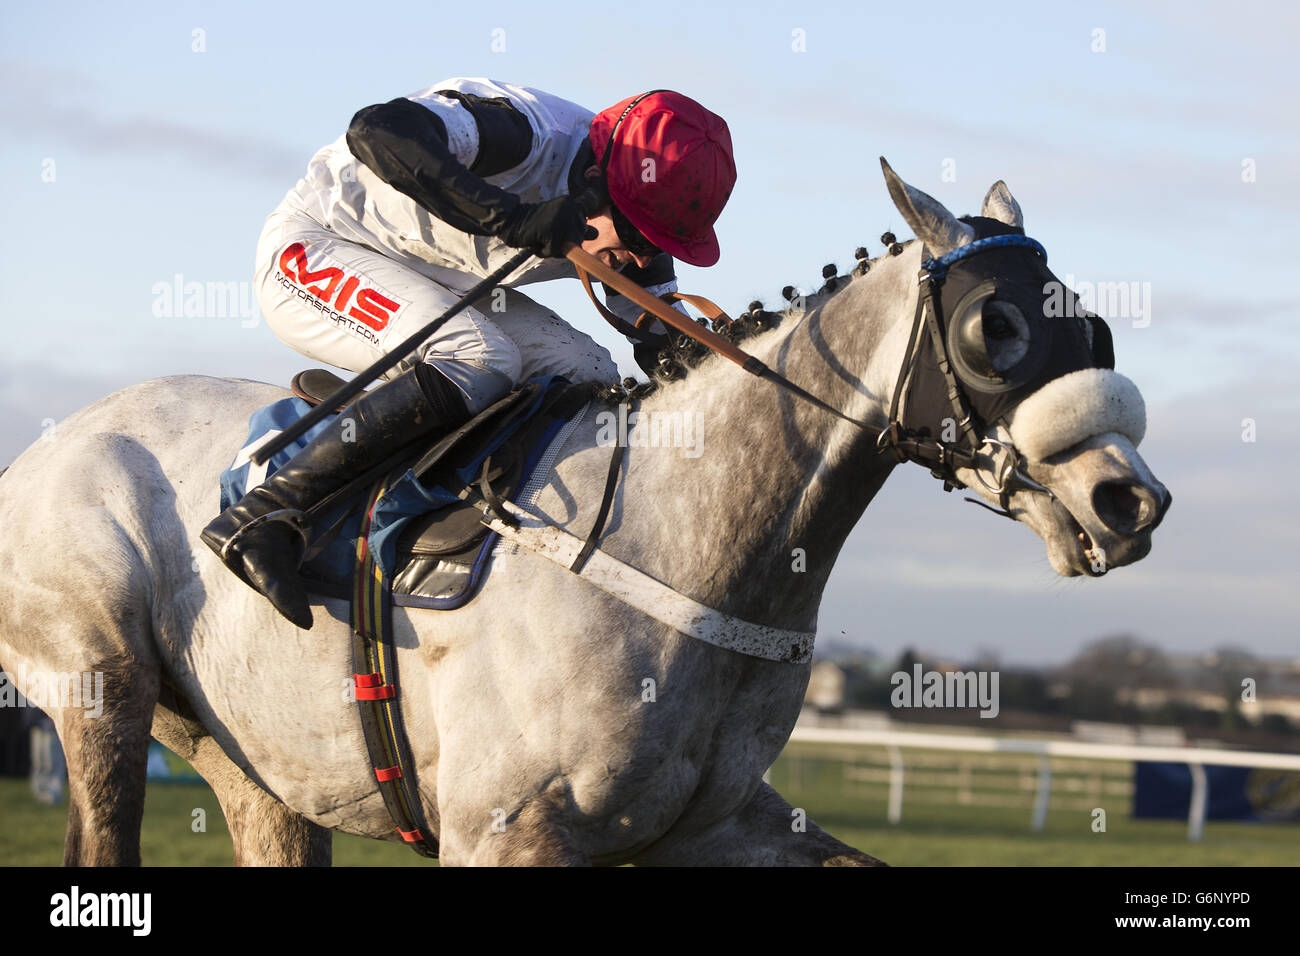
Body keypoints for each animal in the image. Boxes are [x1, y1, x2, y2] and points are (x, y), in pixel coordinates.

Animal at [0, 160, 1170, 863]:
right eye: (995, 330)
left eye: (1091, 328)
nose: (1132, 501)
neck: (693, 544)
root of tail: (46, 443)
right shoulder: (502, 832)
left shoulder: (711, 825)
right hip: (101, 687)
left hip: (252, 766)